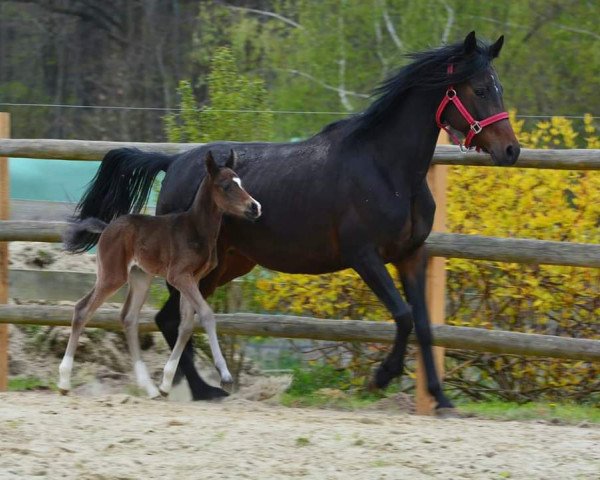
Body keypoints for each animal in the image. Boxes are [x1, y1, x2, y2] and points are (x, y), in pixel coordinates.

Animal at [59, 151, 262, 398]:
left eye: (241, 182)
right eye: (225, 186)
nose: (255, 207)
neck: (196, 230)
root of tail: (106, 227)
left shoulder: (193, 279)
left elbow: (186, 326)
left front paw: (166, 384)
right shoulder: (179, 277)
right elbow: (206, 315)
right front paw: (225, 377)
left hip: (140, 278)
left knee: (128, 318)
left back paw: (149, 387)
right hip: (112, 275)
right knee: (82, 309)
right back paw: (64, 381)